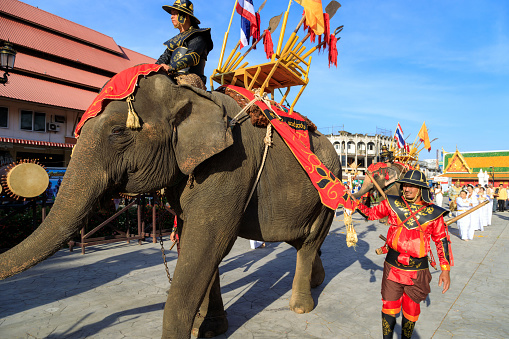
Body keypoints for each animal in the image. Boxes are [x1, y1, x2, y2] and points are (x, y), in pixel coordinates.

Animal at [0, 73, 342, 339]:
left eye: (118, 131)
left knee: (309, 242)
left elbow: (208, 243)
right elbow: (199, 243)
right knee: (303, 242)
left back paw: (301, 306)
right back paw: (318, 279)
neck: (187, 92)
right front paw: (209, 329)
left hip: (330, 187)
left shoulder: (232, 165)